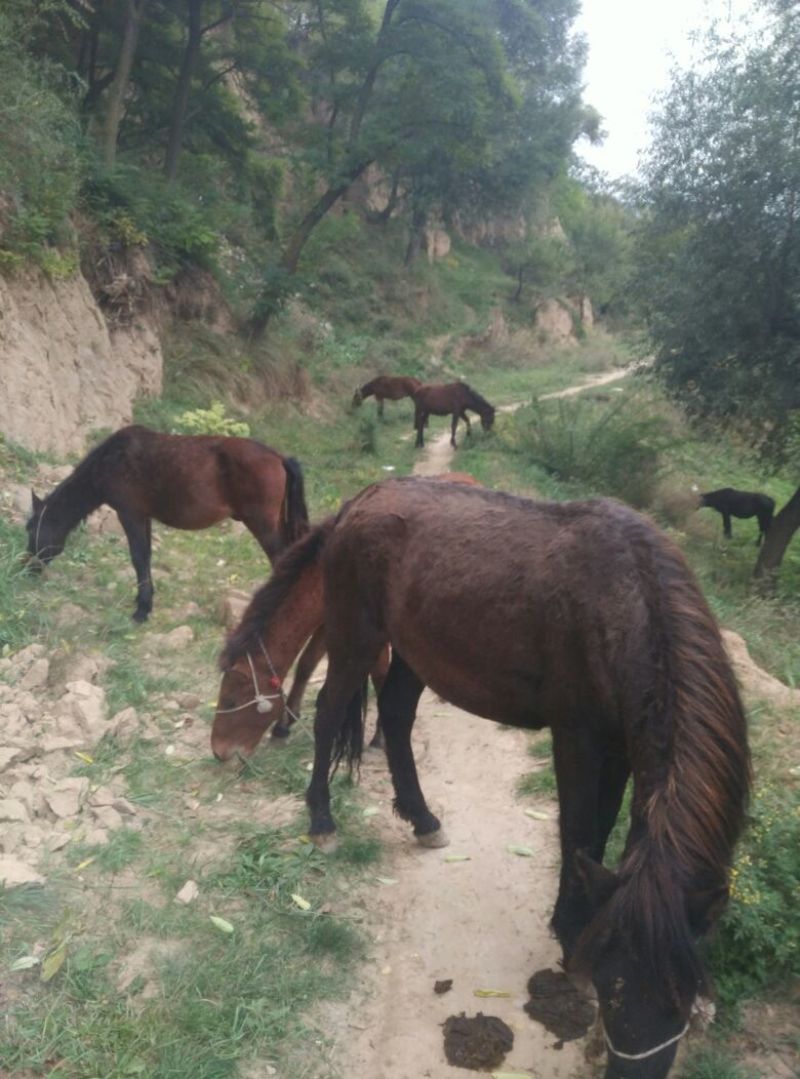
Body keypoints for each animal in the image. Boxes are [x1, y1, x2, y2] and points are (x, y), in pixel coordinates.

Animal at [26, 425, 309, 623]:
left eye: (30, 530)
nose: (28, 569)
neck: (110, 460)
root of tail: (279, 457)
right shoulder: (144, 517)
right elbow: (146, 557)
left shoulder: (130, 514)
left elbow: (139, 557)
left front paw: (142, 610)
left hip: (263, 525)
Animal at [213, 472, 481, 754]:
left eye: (230, 701)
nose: (218, 752)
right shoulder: (328, 622)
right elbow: (306, 664)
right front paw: (284, 723)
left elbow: (378, 676)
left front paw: (380, 735)